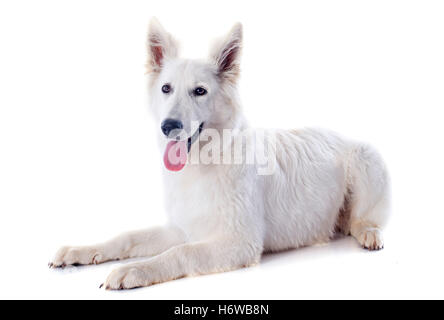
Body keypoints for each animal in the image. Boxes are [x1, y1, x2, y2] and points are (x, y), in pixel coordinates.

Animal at [50, 19, 390, 290]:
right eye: (166, 89)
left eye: (199, 91)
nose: (168, 126)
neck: (206, 162)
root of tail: (338, 133)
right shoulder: (182, 228)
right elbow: (126, 237)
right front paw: (81, 251)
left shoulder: (239, 243)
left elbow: (180, 253)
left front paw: (134, 269)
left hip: (367, 157)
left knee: (363, 219)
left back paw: (367, 233)